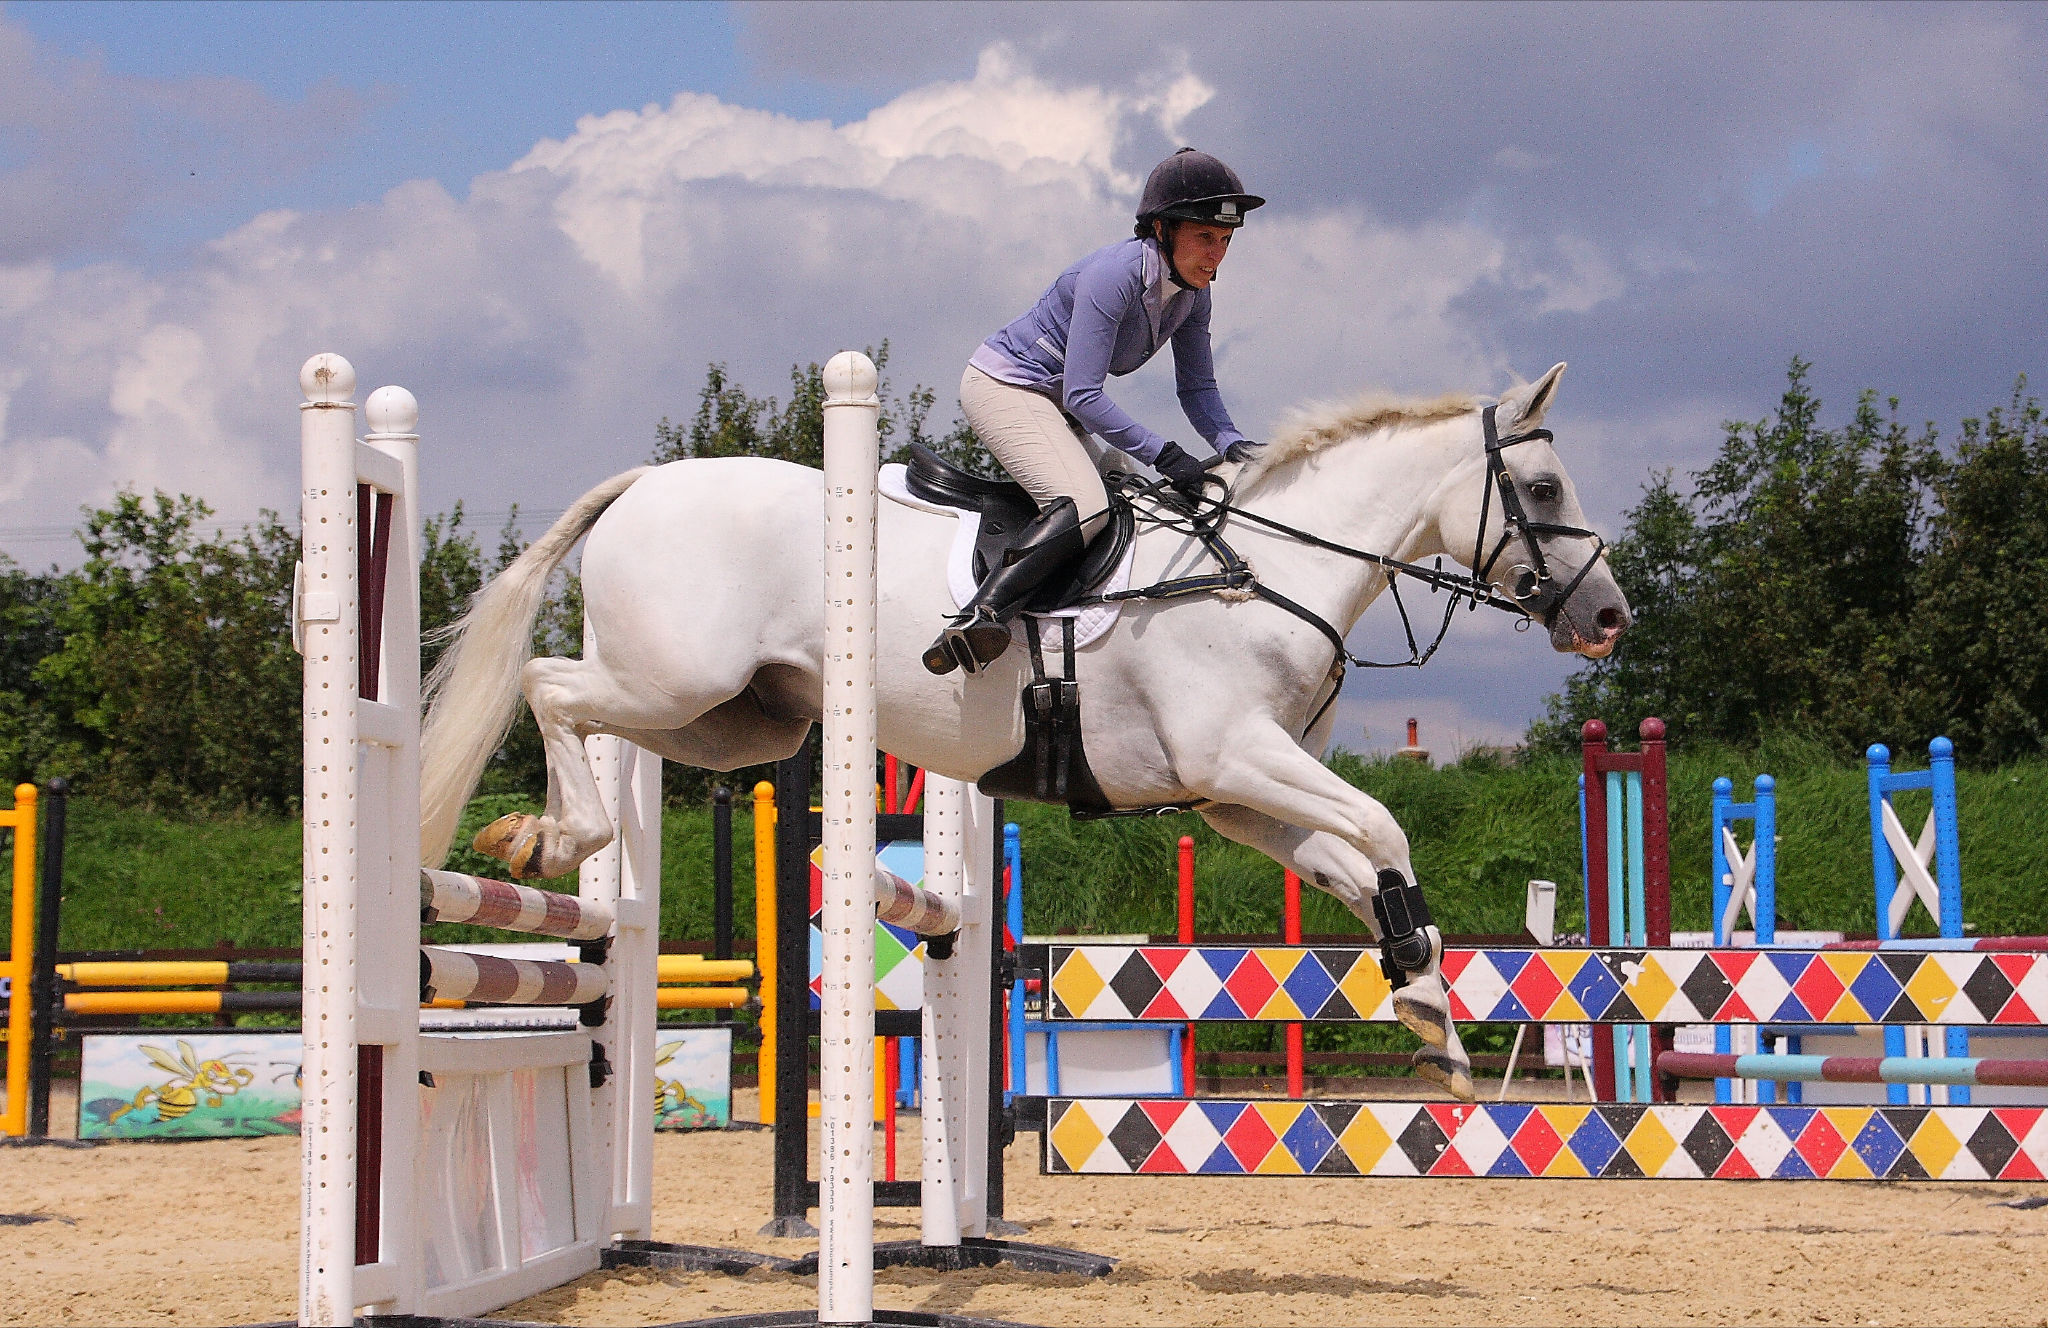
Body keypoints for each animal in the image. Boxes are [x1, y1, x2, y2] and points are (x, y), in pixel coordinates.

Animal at [419, 362, 1630, 1098]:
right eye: (1539, 484)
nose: (1608, 618)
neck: (1264, 572)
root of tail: (644, 485)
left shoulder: (1233, 798)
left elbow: (1358, 862)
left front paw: (1430, 1012)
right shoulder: (1237, 757)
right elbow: (1382, 826)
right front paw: (1424, 992)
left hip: (737, 723)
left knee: (579, 697)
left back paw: (541, 838)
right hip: (674, 679)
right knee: (550, 683)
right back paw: (550, 838)